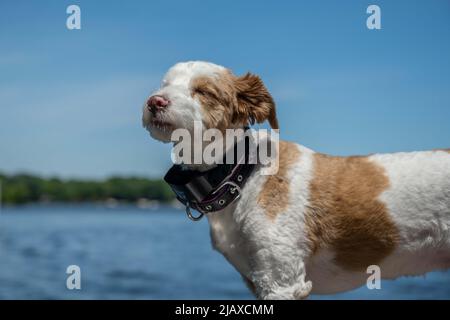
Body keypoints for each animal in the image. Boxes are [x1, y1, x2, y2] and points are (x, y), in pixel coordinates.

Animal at [142, 61, 450, 298]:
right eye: (164, 84)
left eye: (204, 91)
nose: (154, 101)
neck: (242, 172)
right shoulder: (259, 280)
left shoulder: (282, 281)